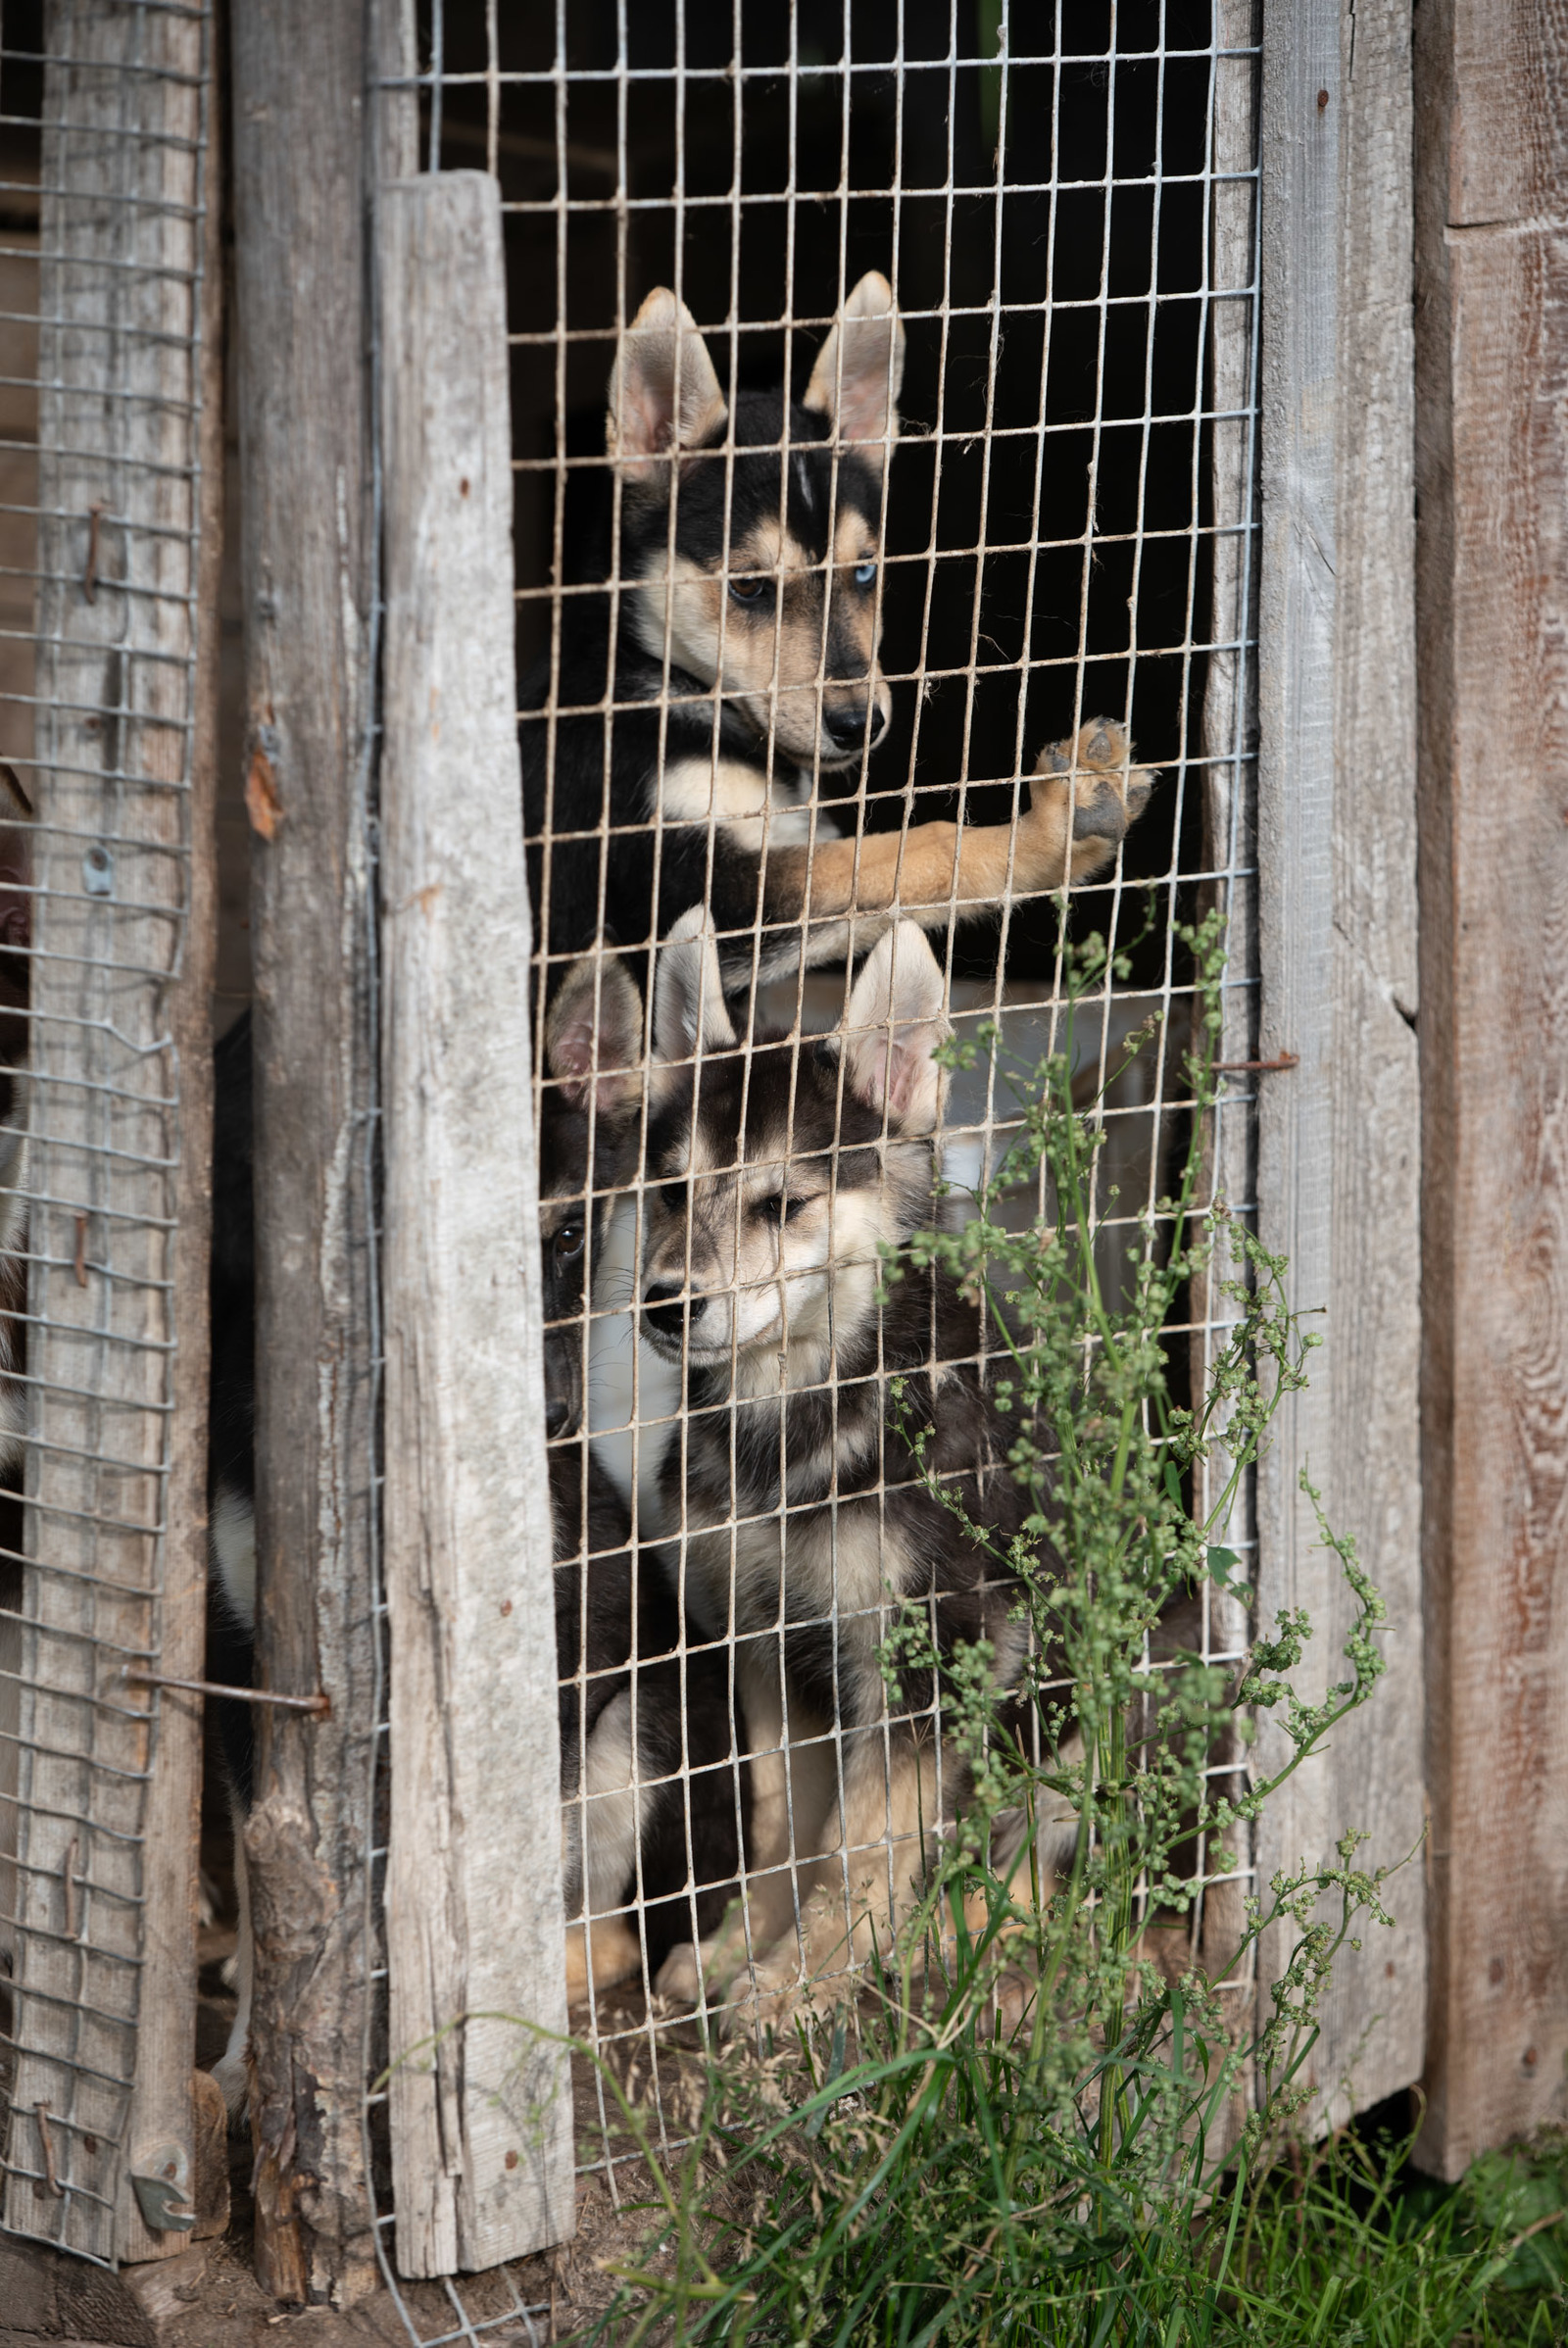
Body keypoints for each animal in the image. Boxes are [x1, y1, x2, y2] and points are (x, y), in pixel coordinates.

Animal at [523, 269, 1150, 995]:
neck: (669, 685)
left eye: (865, 570)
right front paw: (1049, 831)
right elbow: (907, 851)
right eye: (748, 586)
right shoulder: (689, 889)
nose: (859, 725)